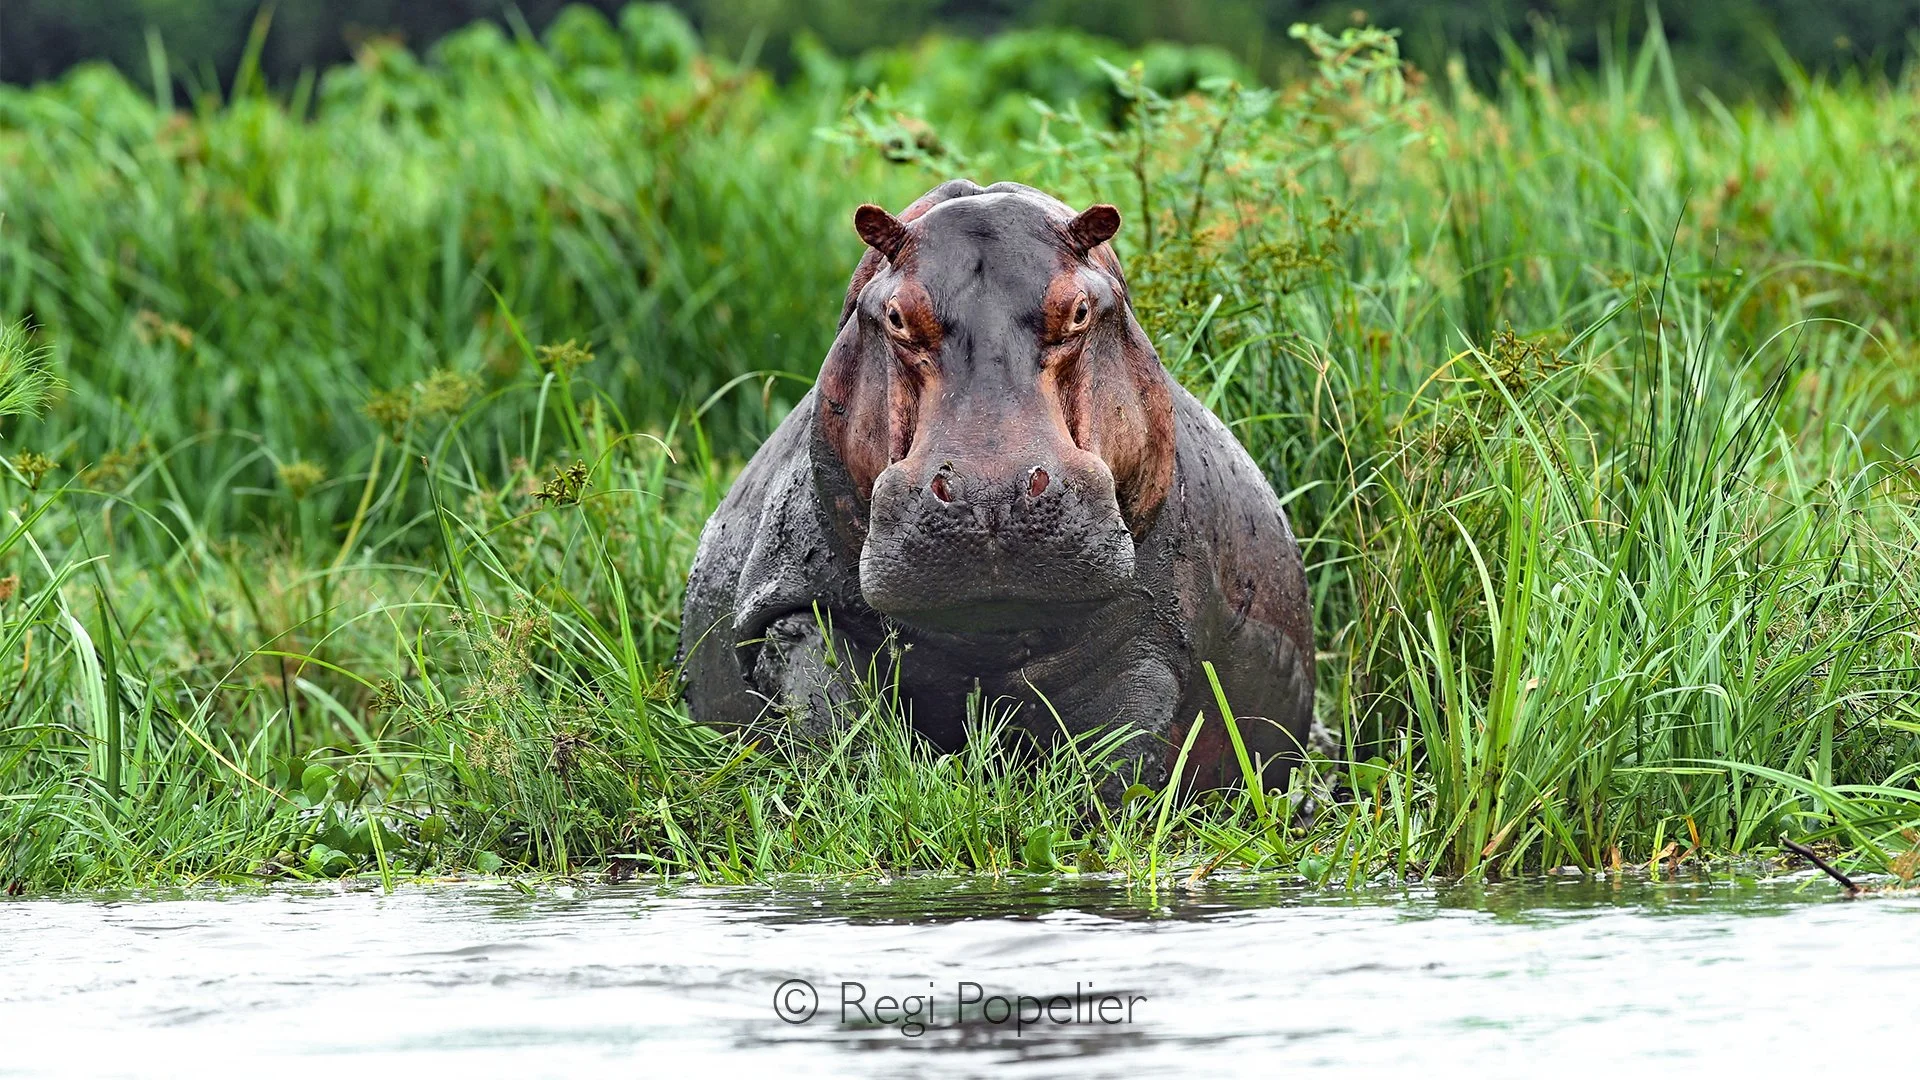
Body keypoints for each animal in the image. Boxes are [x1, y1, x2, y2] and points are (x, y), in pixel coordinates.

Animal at [678, 179, 1314, 798]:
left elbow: (1119, 761)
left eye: (1080, 310)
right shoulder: (794, 606)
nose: (992, 492)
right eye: (896, 315)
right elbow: (831, 724)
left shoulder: (1150, 639)